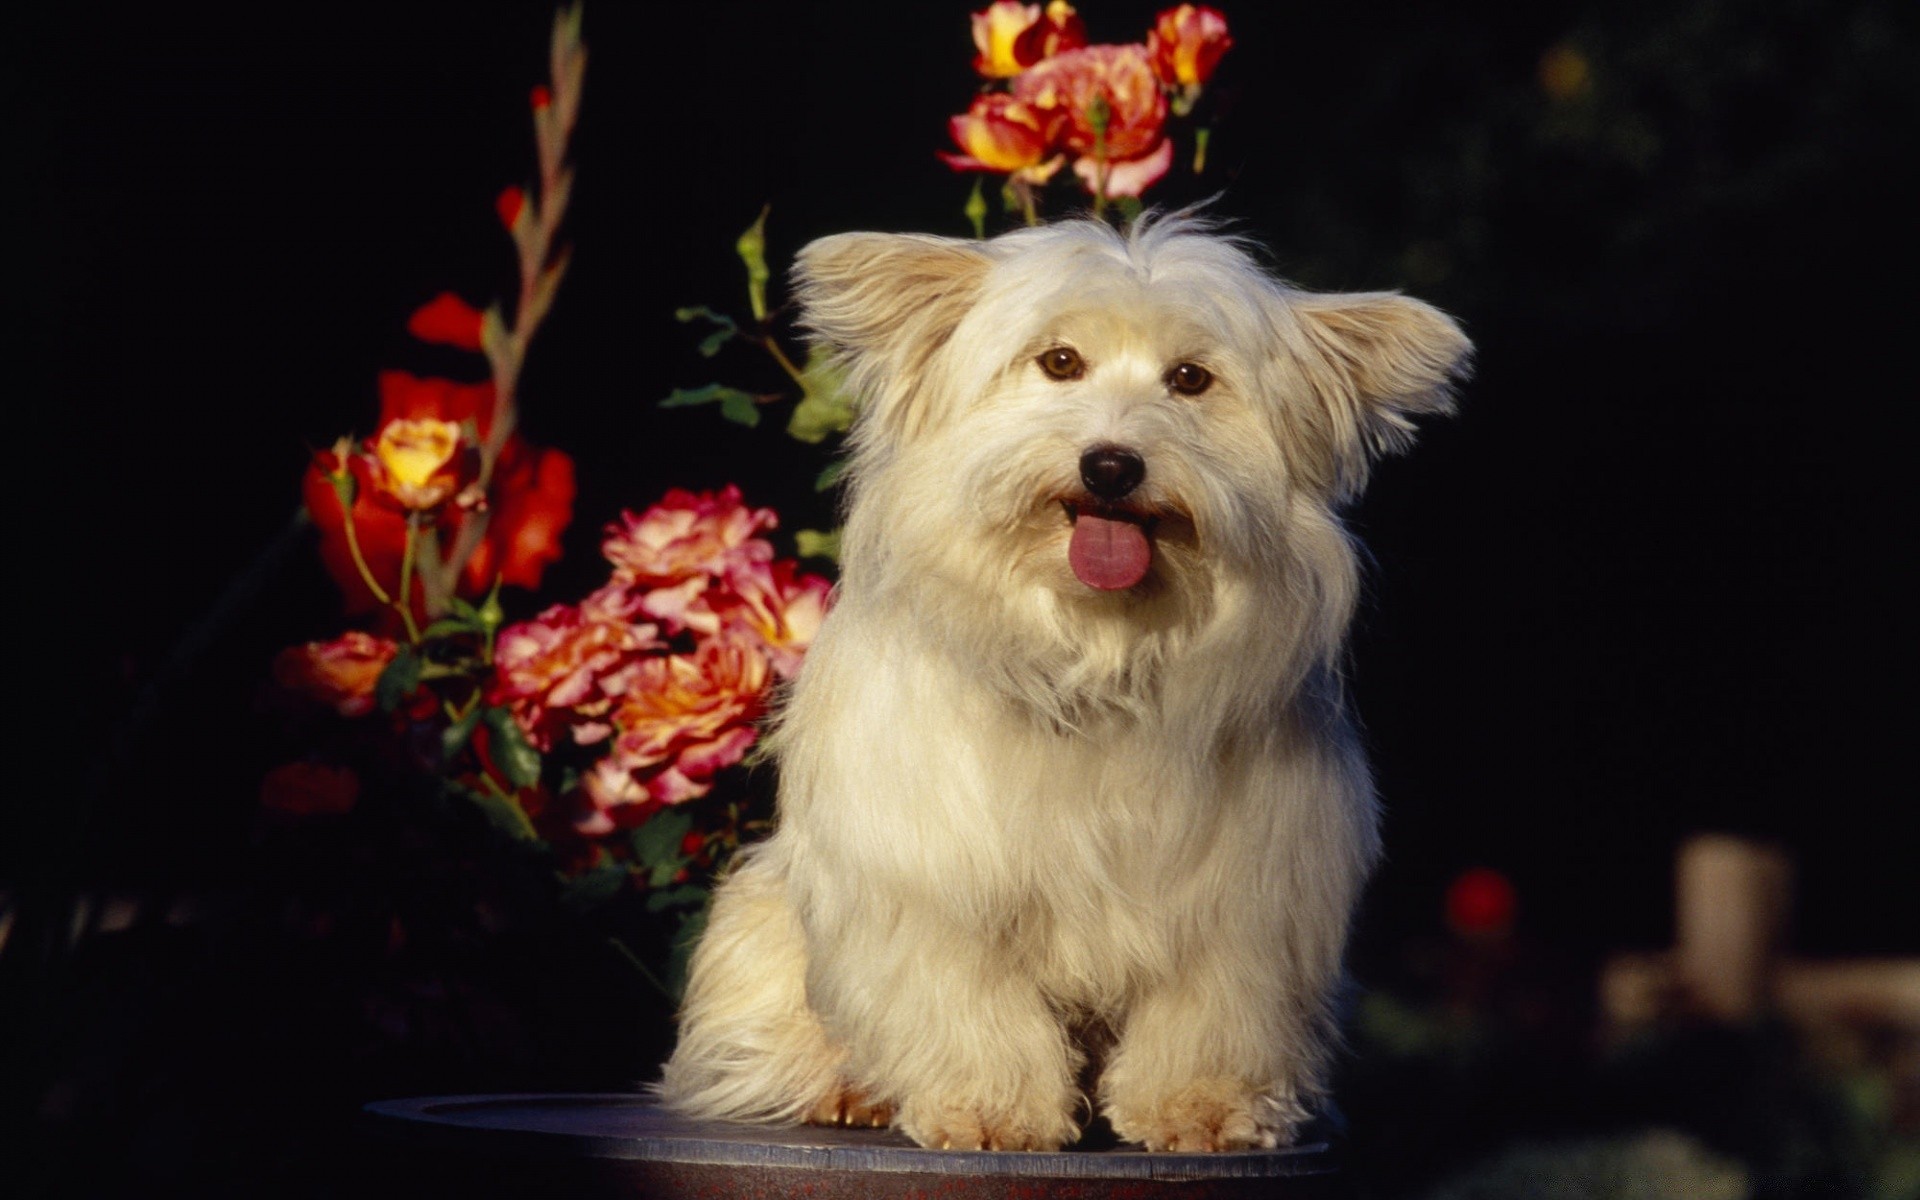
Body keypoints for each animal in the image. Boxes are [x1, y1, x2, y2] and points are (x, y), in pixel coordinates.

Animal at [656, 213, 1466, 1152]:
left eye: (1190, 379)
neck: (1094, 651)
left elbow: (1211, 1011)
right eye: (1060, 361)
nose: (1112, 466)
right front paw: (989, 1105)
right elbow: (963, 999)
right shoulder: (934, 882)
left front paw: (1199, 1104)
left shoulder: (1245, 902)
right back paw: (848, 1086)